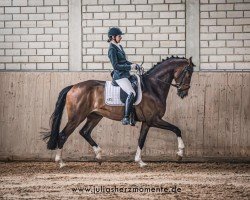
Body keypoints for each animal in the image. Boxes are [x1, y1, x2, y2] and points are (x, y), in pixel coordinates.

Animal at [43, 55, 195, 167]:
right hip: (76, 117)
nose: (183, 93)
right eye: (188, 72)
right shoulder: (154, 120)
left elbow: (141, 140)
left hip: (95, 116)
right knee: (63, 135)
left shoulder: (147, 122)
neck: (153, 87)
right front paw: (180, 154)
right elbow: (176, 129)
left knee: (85, 132)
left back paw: (99, 156)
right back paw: (61, 162)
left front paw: (140, 161)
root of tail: (73, 86)